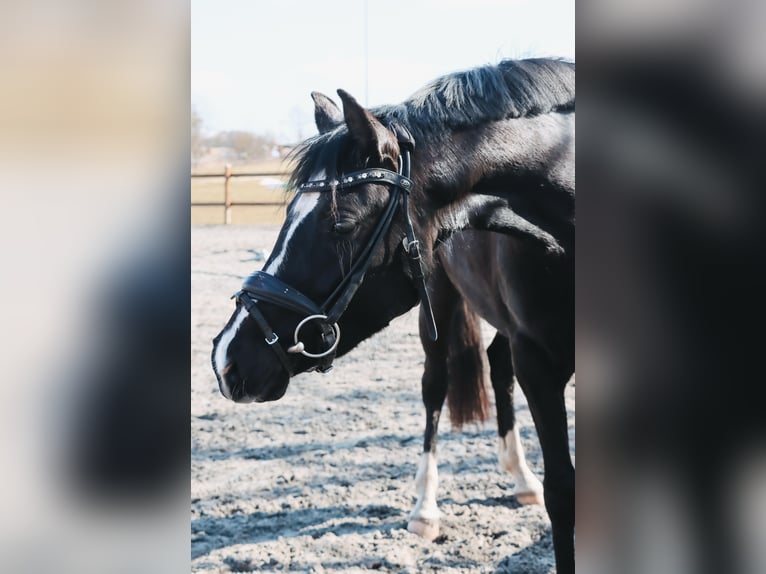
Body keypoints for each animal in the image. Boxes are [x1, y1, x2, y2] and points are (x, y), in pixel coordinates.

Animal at [213, 58, 572, 572]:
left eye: (340, 224)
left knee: (496, 366)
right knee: (437, 386)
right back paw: (426, 509)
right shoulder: (538, 362)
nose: (226, 359)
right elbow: (565, 493)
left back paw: (522, 480)